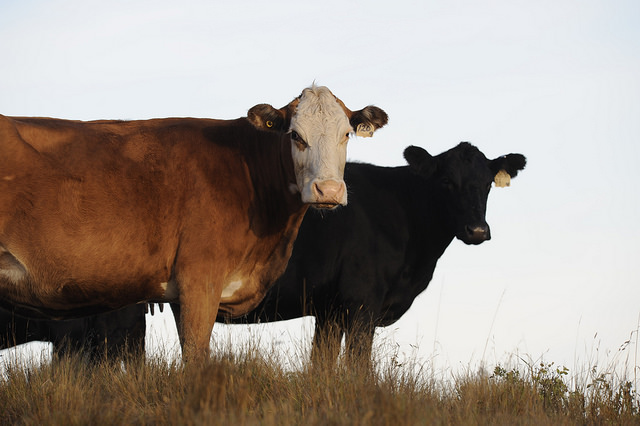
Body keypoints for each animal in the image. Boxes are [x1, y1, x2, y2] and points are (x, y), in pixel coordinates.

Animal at [220, 143, 524, 366]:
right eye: (447, 181)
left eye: (488, 183)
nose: (477, 230)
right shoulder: (361, 301)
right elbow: (357, 366)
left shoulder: (329, 309)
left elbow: (321, 363)